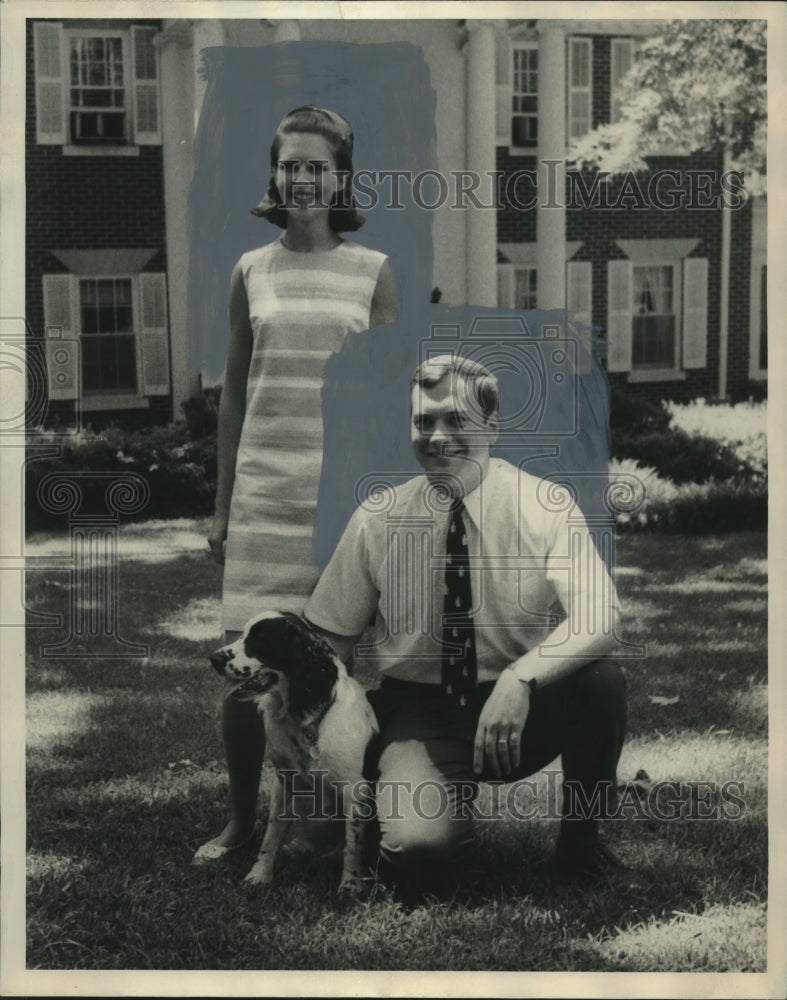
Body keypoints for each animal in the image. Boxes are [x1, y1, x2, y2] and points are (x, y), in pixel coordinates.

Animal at [209, 612, 382, 896]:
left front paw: (350, 884)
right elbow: (271, 835)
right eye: (242, 634)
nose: (213, 659)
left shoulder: (355, 790)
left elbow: (352, 843)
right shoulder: (284, 782)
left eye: (259, 640)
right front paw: (259, 875)